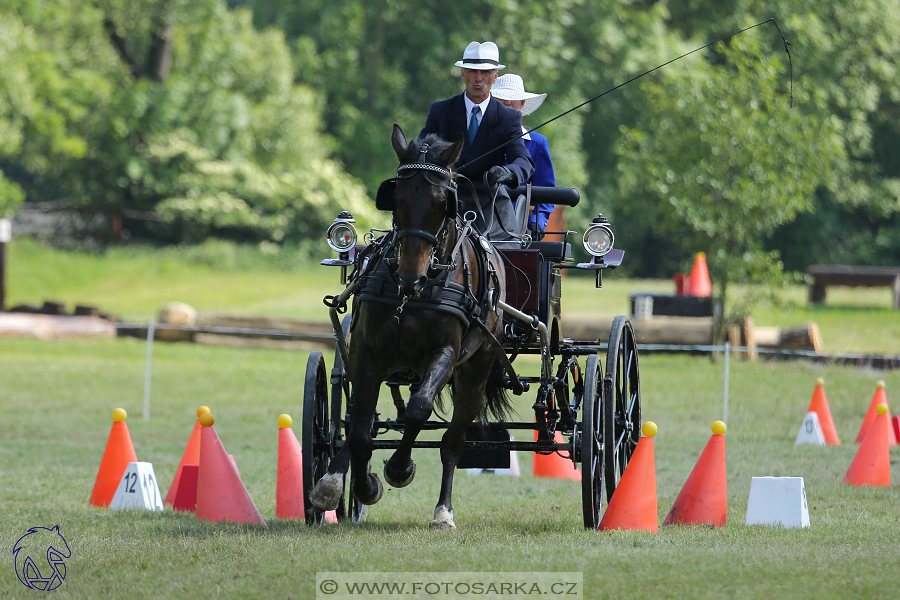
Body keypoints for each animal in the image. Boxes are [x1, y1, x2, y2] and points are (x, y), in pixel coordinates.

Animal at [310, 124, 510, 528]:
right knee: (361, 421)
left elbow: (418, 411)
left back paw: (443, 510)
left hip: (475, 370)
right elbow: (359, 431)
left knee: (453, 440)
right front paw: (363, 486)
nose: (408, 277)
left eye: (442, 203)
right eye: (396, 198)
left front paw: (398, 470)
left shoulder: (445, 354)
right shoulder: (365, 352)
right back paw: (334, 479)